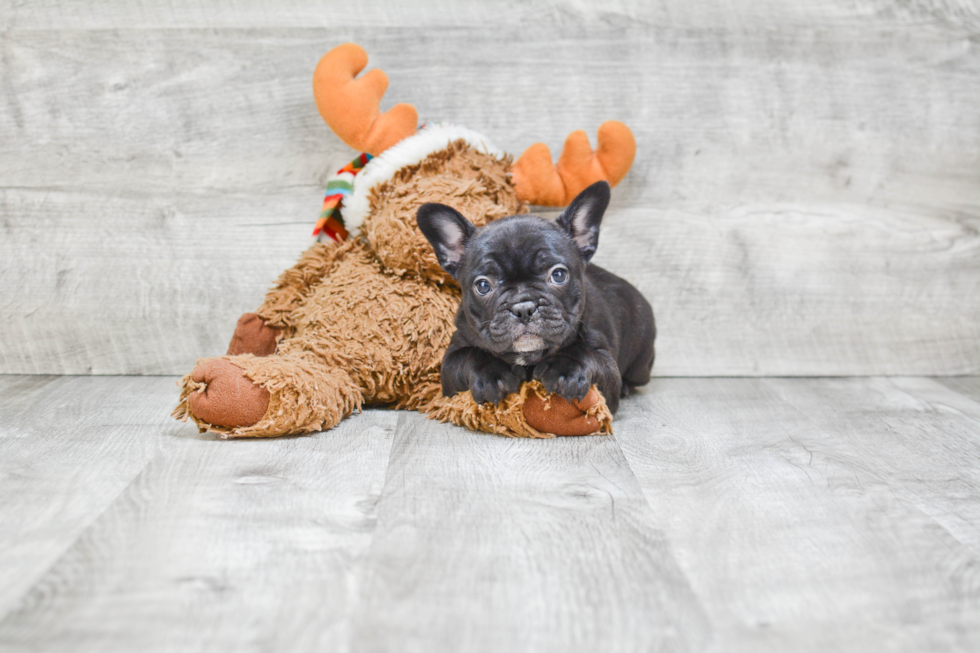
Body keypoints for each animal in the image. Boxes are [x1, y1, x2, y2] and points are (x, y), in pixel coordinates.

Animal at [418, 180, 656, 412]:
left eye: (558, 275)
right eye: (483, 286)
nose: (523, 307)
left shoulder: (606, 365)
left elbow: (589, 355)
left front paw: (566, 368)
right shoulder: (450, 363)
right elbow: (468, 355)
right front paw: (491, 374)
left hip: (640, 361)